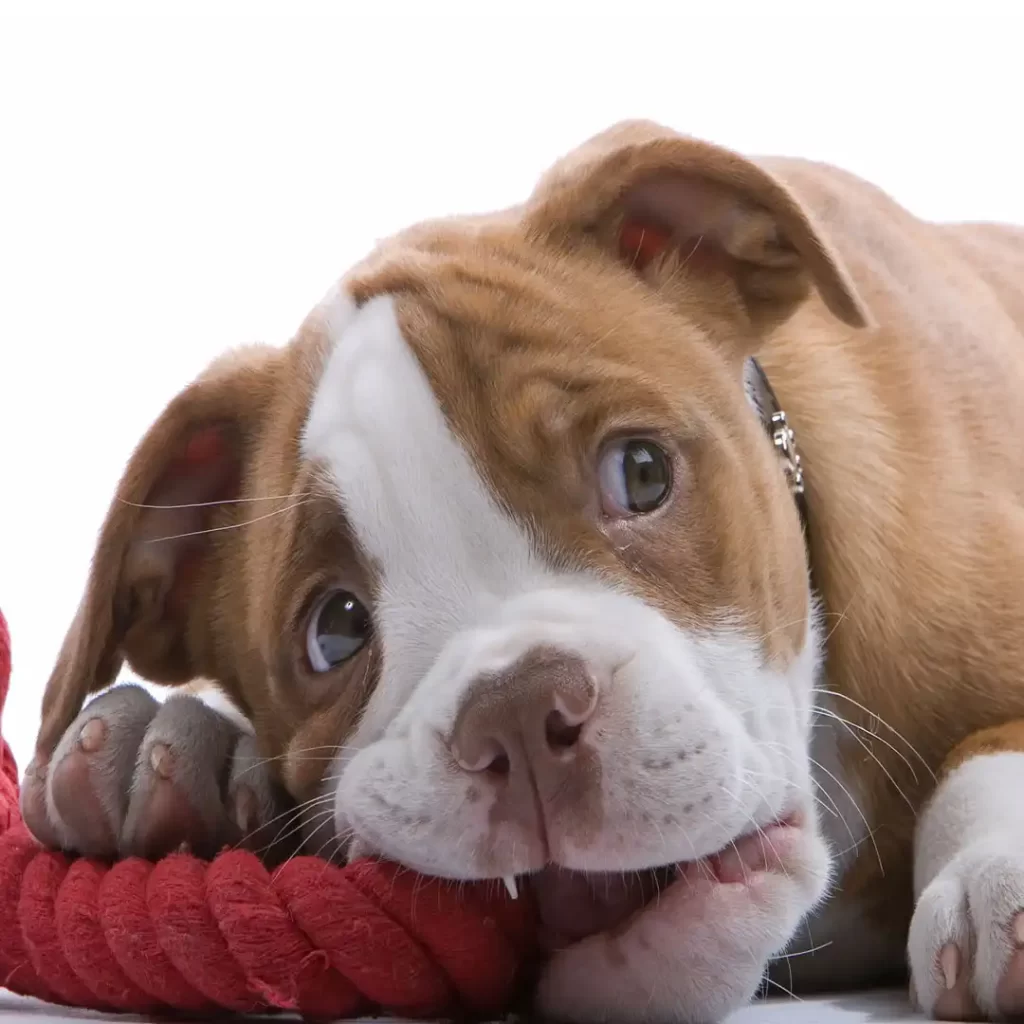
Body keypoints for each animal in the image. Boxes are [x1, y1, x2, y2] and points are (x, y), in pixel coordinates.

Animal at [19, 121, 1024, 1024]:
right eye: (334, 630)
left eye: (642, 473)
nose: (517, 708)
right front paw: (173, 742)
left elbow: (988, 745)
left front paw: (998, 874)